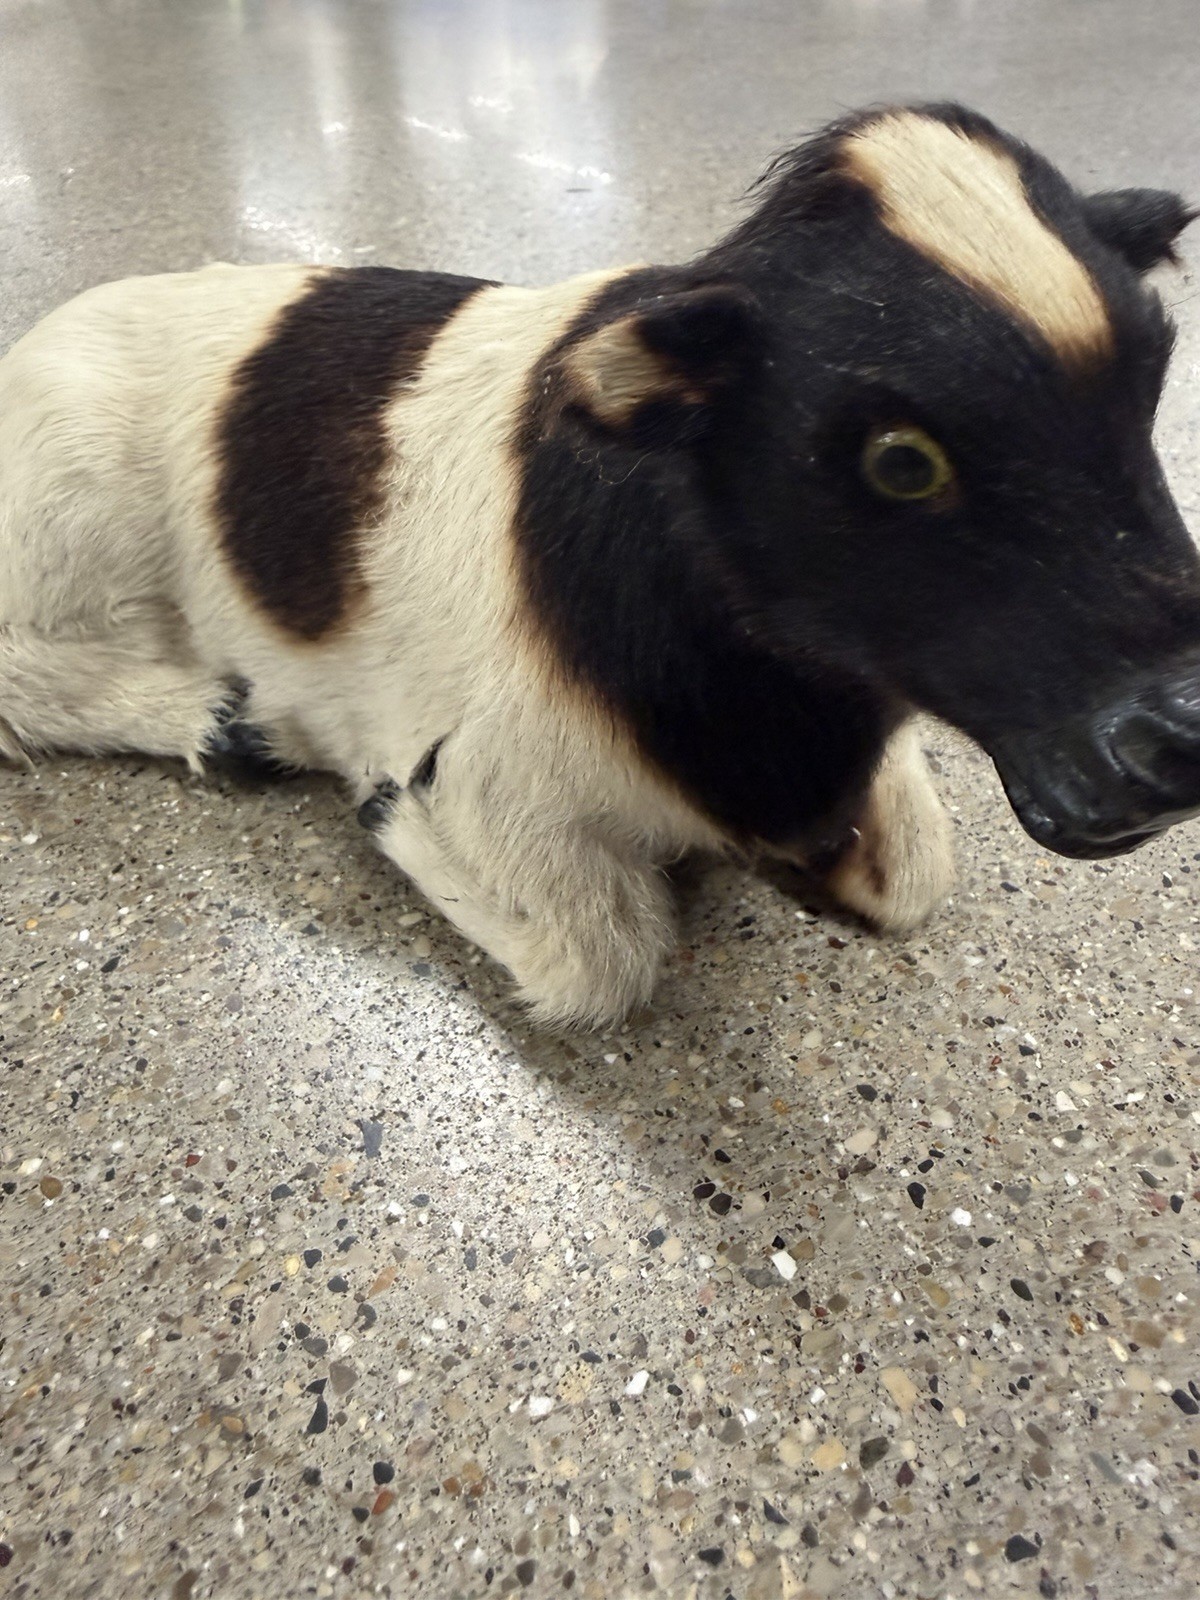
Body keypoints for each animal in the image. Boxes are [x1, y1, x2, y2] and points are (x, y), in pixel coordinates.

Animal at [1, 103, 1197, 1026]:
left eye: (1153, 381)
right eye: (902, 460)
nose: (1181, 729)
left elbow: (917, 872)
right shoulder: (490, 775)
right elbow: (603, 960)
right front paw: (388, 814)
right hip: (72, 512)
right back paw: (221, 721)